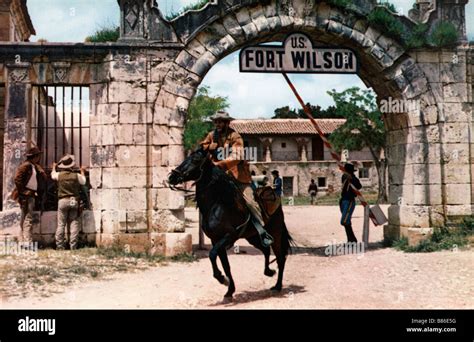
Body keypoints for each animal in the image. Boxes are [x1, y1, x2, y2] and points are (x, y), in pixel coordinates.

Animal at [167, 148, 292, 300]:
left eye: (195, 160)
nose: (172, 176)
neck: (217, 204)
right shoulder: (215, 240)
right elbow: (225, 264)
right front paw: (229, 290)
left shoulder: (228, 236)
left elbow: (212, 255)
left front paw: (222, 279)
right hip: (253, 237)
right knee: (266, 250)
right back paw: (268, 272)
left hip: (276, 234)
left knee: (280, 258)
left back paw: (278, 286)